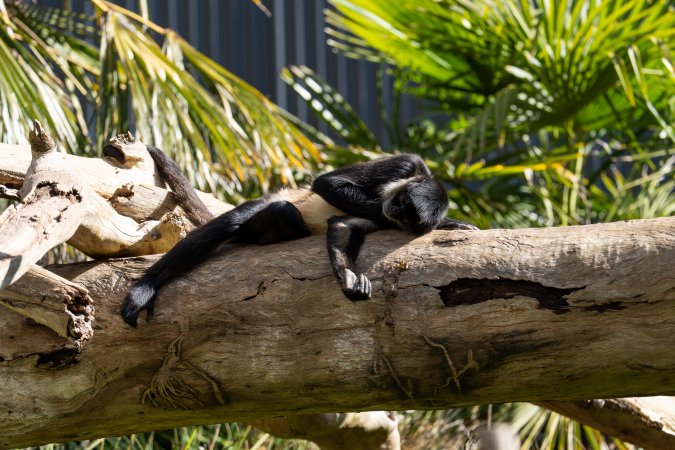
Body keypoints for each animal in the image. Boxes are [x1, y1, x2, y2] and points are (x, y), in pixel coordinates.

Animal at [119, 147, 478, 327]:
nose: (392, 211)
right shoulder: (406, 164)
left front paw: (349, 277)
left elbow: (344, 227)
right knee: (242, 220)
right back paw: (146, 286)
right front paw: (451, 223)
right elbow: (326, 184)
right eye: (402, 202)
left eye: (405, 213)